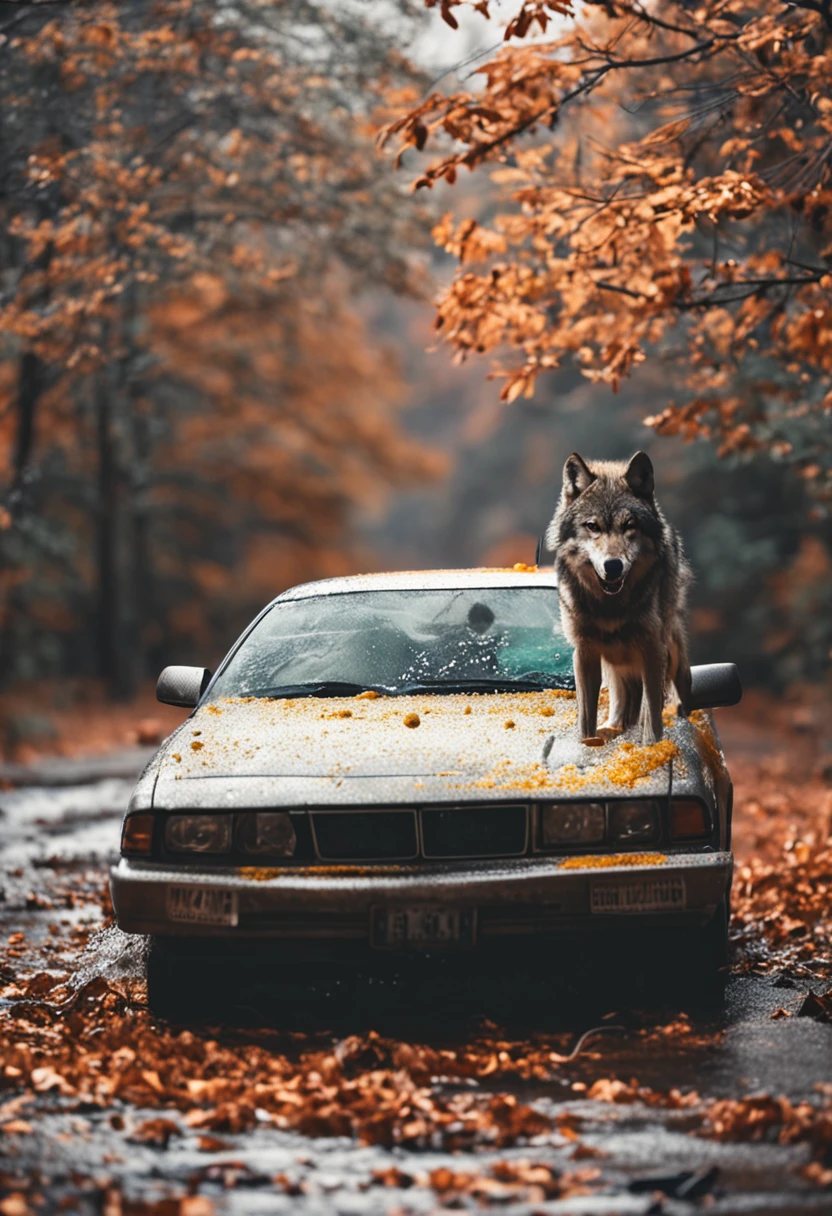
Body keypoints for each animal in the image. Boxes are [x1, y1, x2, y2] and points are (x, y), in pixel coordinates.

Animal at [545, 451, 693, 745]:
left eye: (629, 525)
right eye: (592, 526)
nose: (613, 566)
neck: (610, 607)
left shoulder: (652, 649)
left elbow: (653, 716)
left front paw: (650, 745)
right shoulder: (585, 653)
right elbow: (586, 719)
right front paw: (588, 743)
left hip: (674, 660)